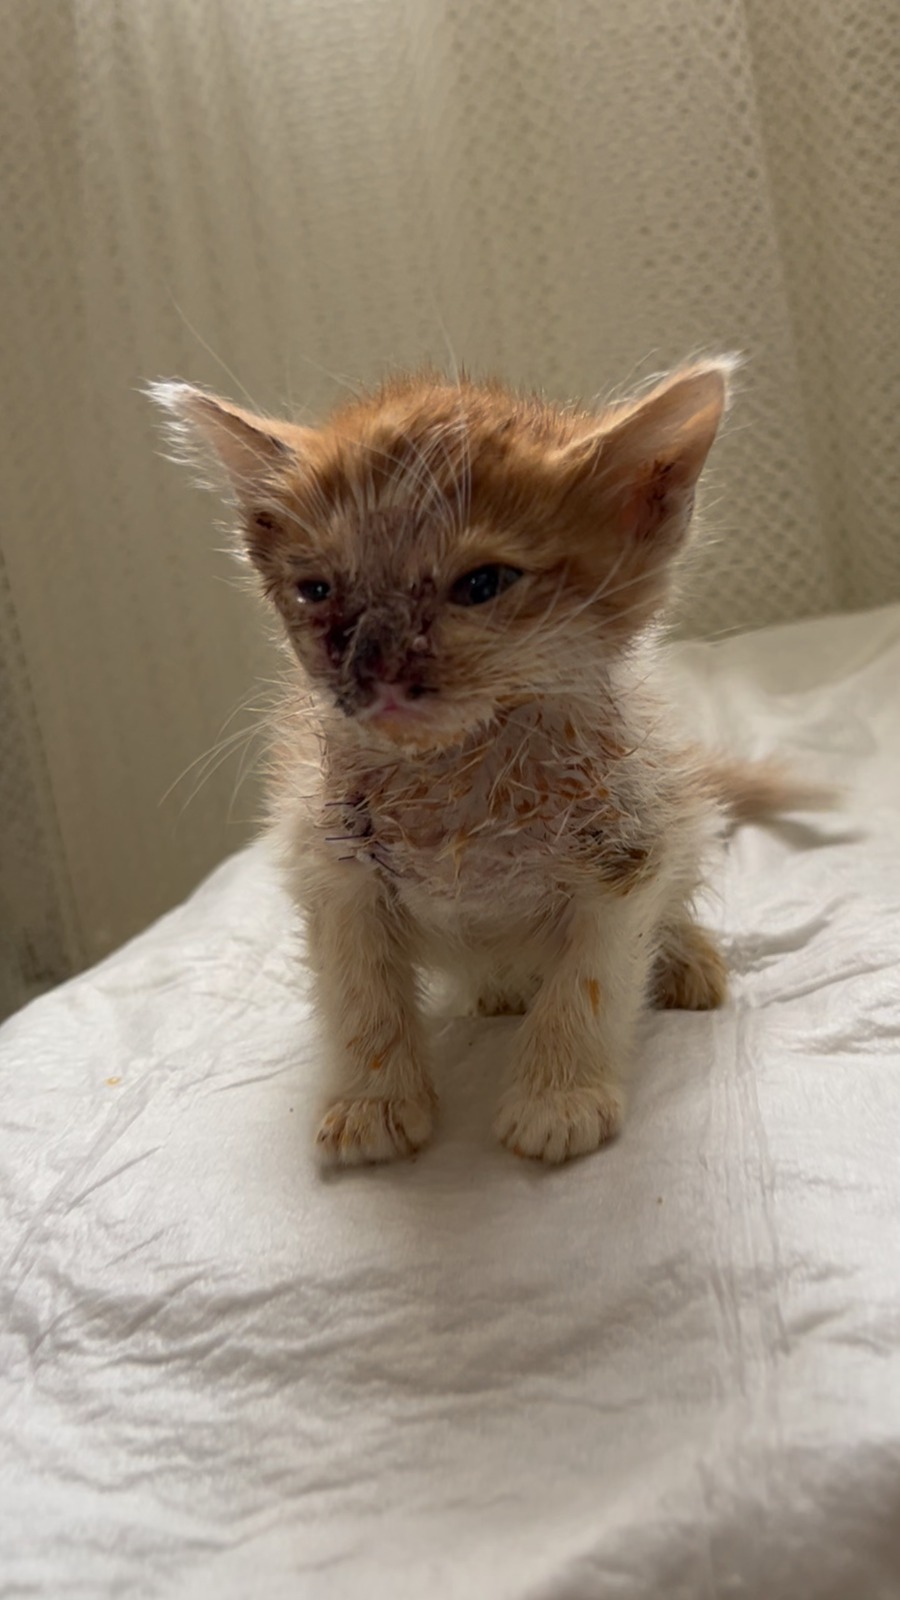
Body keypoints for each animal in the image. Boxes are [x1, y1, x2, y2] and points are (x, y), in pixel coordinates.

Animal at [152, 360, 819, 1164]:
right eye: (317, 590)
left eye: (482, 584)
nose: (375, 668)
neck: (456, 783)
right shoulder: (330, 863)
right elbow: (358, 990)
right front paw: (374, 1101)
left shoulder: (628, 851)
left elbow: (590, 978)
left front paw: (558, 1096)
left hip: (684, 807)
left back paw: (685, 957)